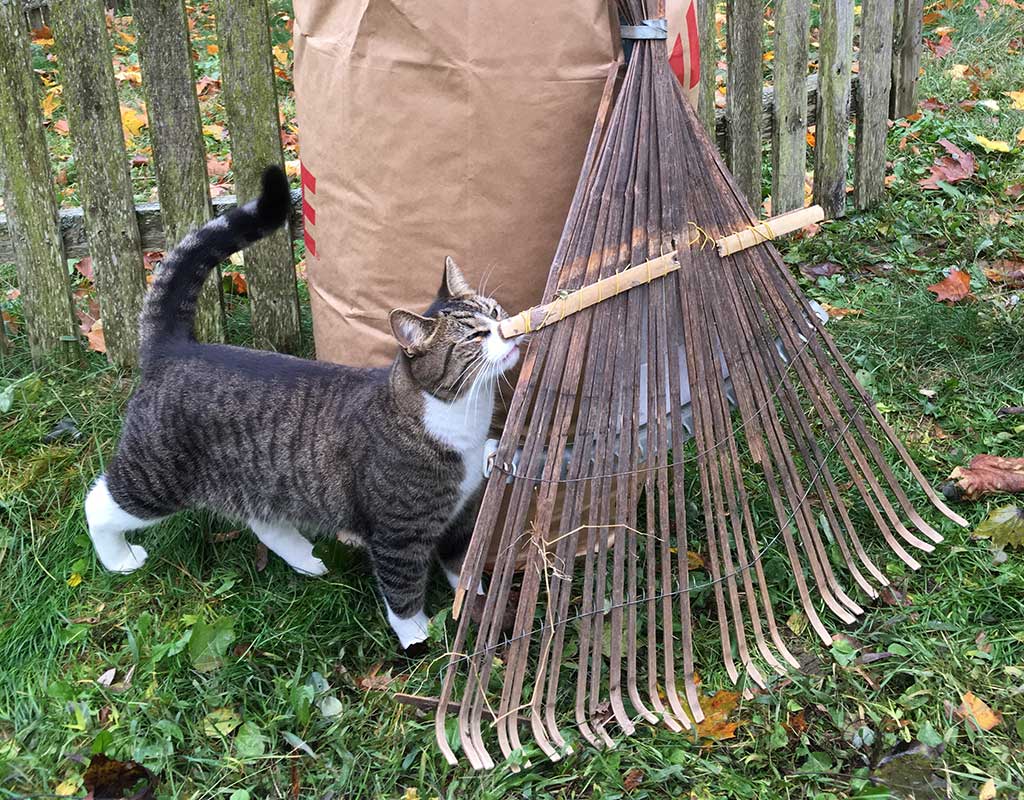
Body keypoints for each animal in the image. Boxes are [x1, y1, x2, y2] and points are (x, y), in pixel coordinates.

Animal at [81, 166, 520, 647]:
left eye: (496, 311)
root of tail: (174, 346)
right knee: (100, 503)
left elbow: (464, 568)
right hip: (156, 474)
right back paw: (119, 558)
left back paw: (306, 559)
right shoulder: (398, 535)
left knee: (262, 518)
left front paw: (478, 609)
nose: (511, 330)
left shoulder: (461, 517)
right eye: (476, 336)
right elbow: (403, 591)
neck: (455, 416)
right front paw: (419, 639)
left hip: (259, 476)